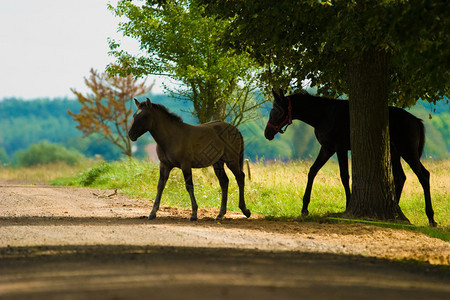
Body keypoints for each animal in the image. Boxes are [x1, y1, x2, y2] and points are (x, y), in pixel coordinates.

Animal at [266, 90, 434, 226]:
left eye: (276, 110)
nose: (267, 133)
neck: (324, 114)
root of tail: (416, 120)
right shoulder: (327, 149)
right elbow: (312, 171)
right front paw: (304, 208)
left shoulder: (339, 148)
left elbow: (344, 176)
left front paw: (348, 204)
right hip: (395, 153)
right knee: (401, 177)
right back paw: (398, 211)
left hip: (408, 152)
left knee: (423, 176)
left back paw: (431, 217)